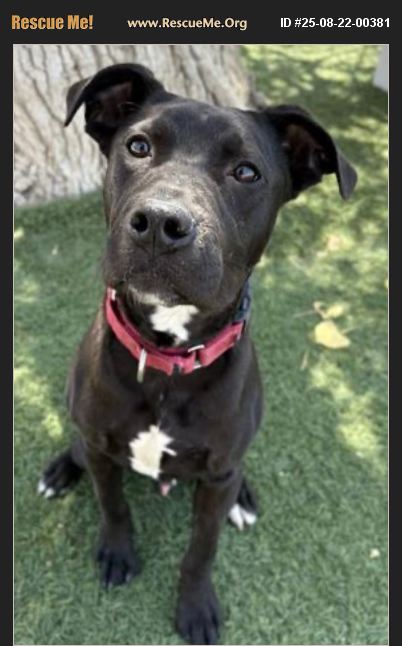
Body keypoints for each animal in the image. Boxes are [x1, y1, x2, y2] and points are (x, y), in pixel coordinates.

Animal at [38, 63, 357, 645]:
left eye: (246, 172)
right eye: (138, 146)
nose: (161, 224)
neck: (168, 362)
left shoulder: (215, 477)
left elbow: (201, 550)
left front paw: (195, 606)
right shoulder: (100, 448)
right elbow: (113, 506)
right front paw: (116, 554)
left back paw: (244, 500)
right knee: (77, 451)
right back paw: (59, 471)